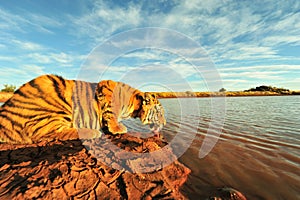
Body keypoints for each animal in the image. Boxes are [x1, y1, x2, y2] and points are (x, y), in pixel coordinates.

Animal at [0, 74, 166, 143]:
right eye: (160, 113)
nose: (165, 123)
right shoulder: (106, 89)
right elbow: (110, 112)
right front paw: (118, 128)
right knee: (44, 135)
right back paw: (91, 132)